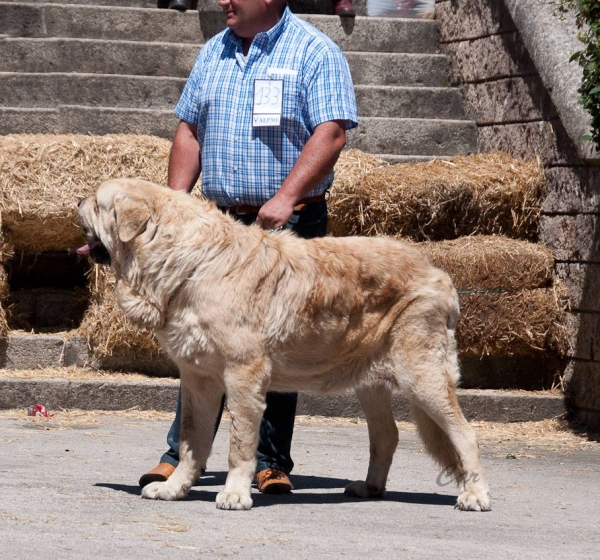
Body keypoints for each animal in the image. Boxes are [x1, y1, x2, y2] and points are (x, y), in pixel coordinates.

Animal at [77, 179, 490, 512]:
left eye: (97, 202)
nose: (78, 199)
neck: (192, 263)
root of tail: (439, 273)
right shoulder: (198, 379)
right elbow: (192, 441)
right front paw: (174, 488)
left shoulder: (243, 375)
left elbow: (239, 445)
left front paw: (235, 494)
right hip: (370, 383)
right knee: (387, 436)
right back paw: (370, 488)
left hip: (422, 377)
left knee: (465, 434)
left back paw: (475, 496)